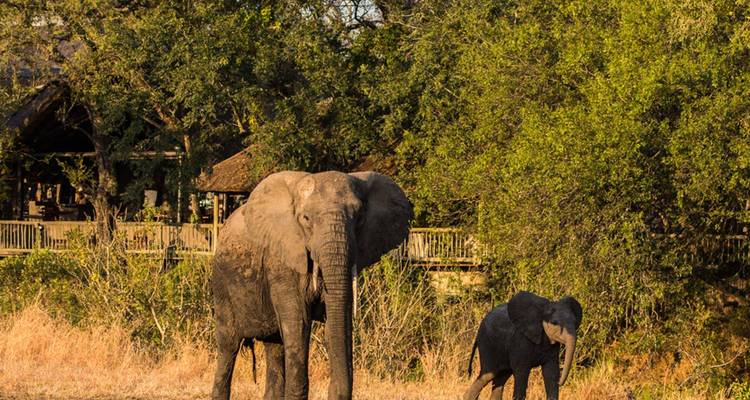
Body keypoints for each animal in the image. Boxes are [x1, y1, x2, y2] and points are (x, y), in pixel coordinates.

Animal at [210, 170, 412, 400]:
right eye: (306, 219)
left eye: (360, 218)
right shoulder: (282, 263)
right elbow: (299, 325)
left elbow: (336, 325)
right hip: (221, 283)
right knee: (228, 345)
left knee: (274, 346)